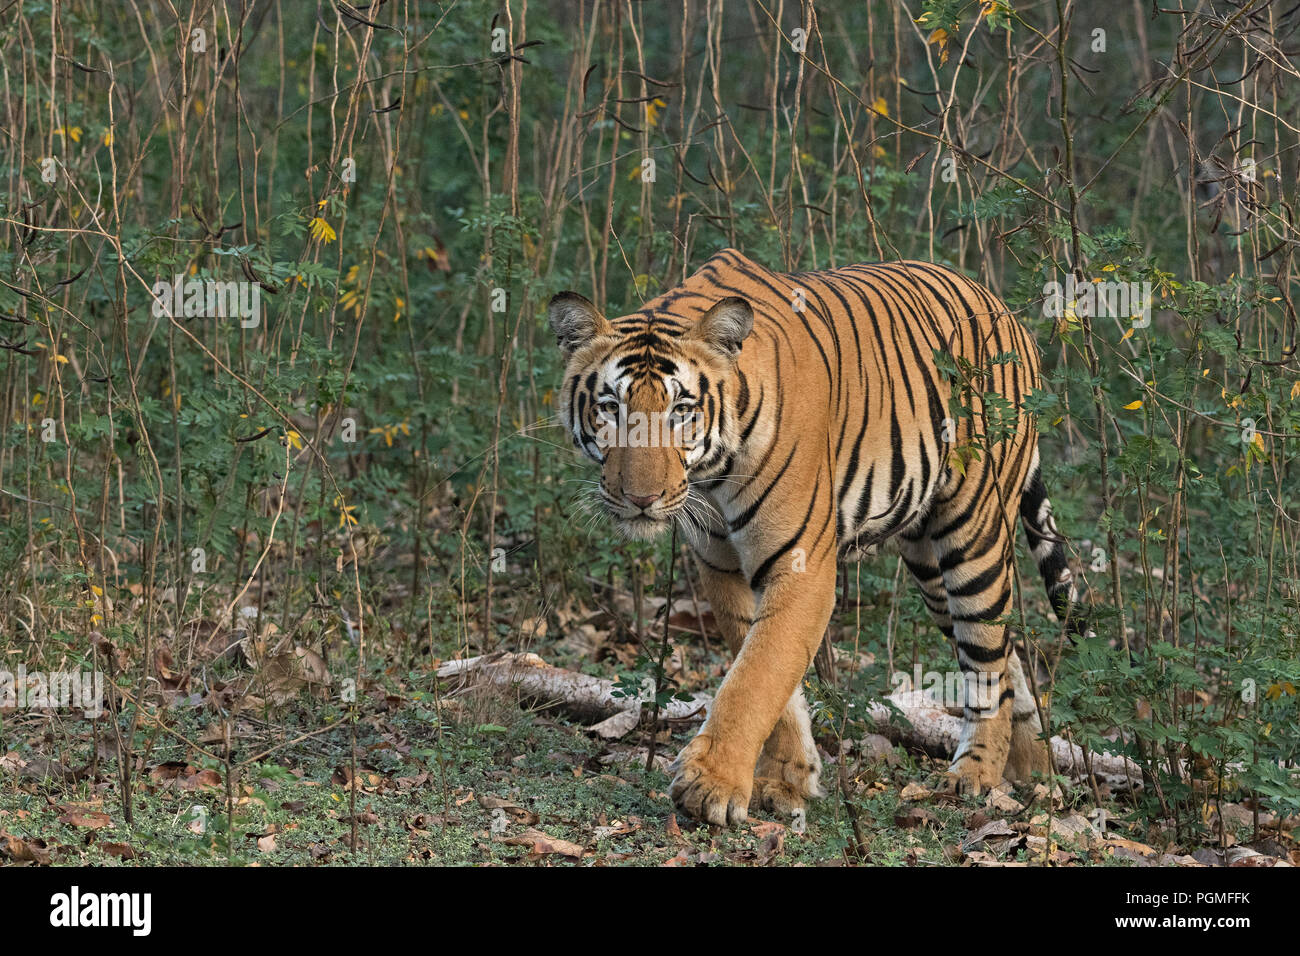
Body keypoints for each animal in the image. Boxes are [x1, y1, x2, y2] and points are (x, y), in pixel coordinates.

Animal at [543, 248, 1081, 832]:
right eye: (609, 408)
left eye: (681, 410)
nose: (641, 498)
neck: (712, 471)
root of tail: (1005, 310)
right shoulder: (722, 566)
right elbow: (766, 674)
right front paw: (786, 781)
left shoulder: (800, 565)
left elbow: (757, 675)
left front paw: (711, 787)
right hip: (928, 565)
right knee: (1006, 654)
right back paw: (1032, 768)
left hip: (972, 532)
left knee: (985, 655)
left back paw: (976, 775)